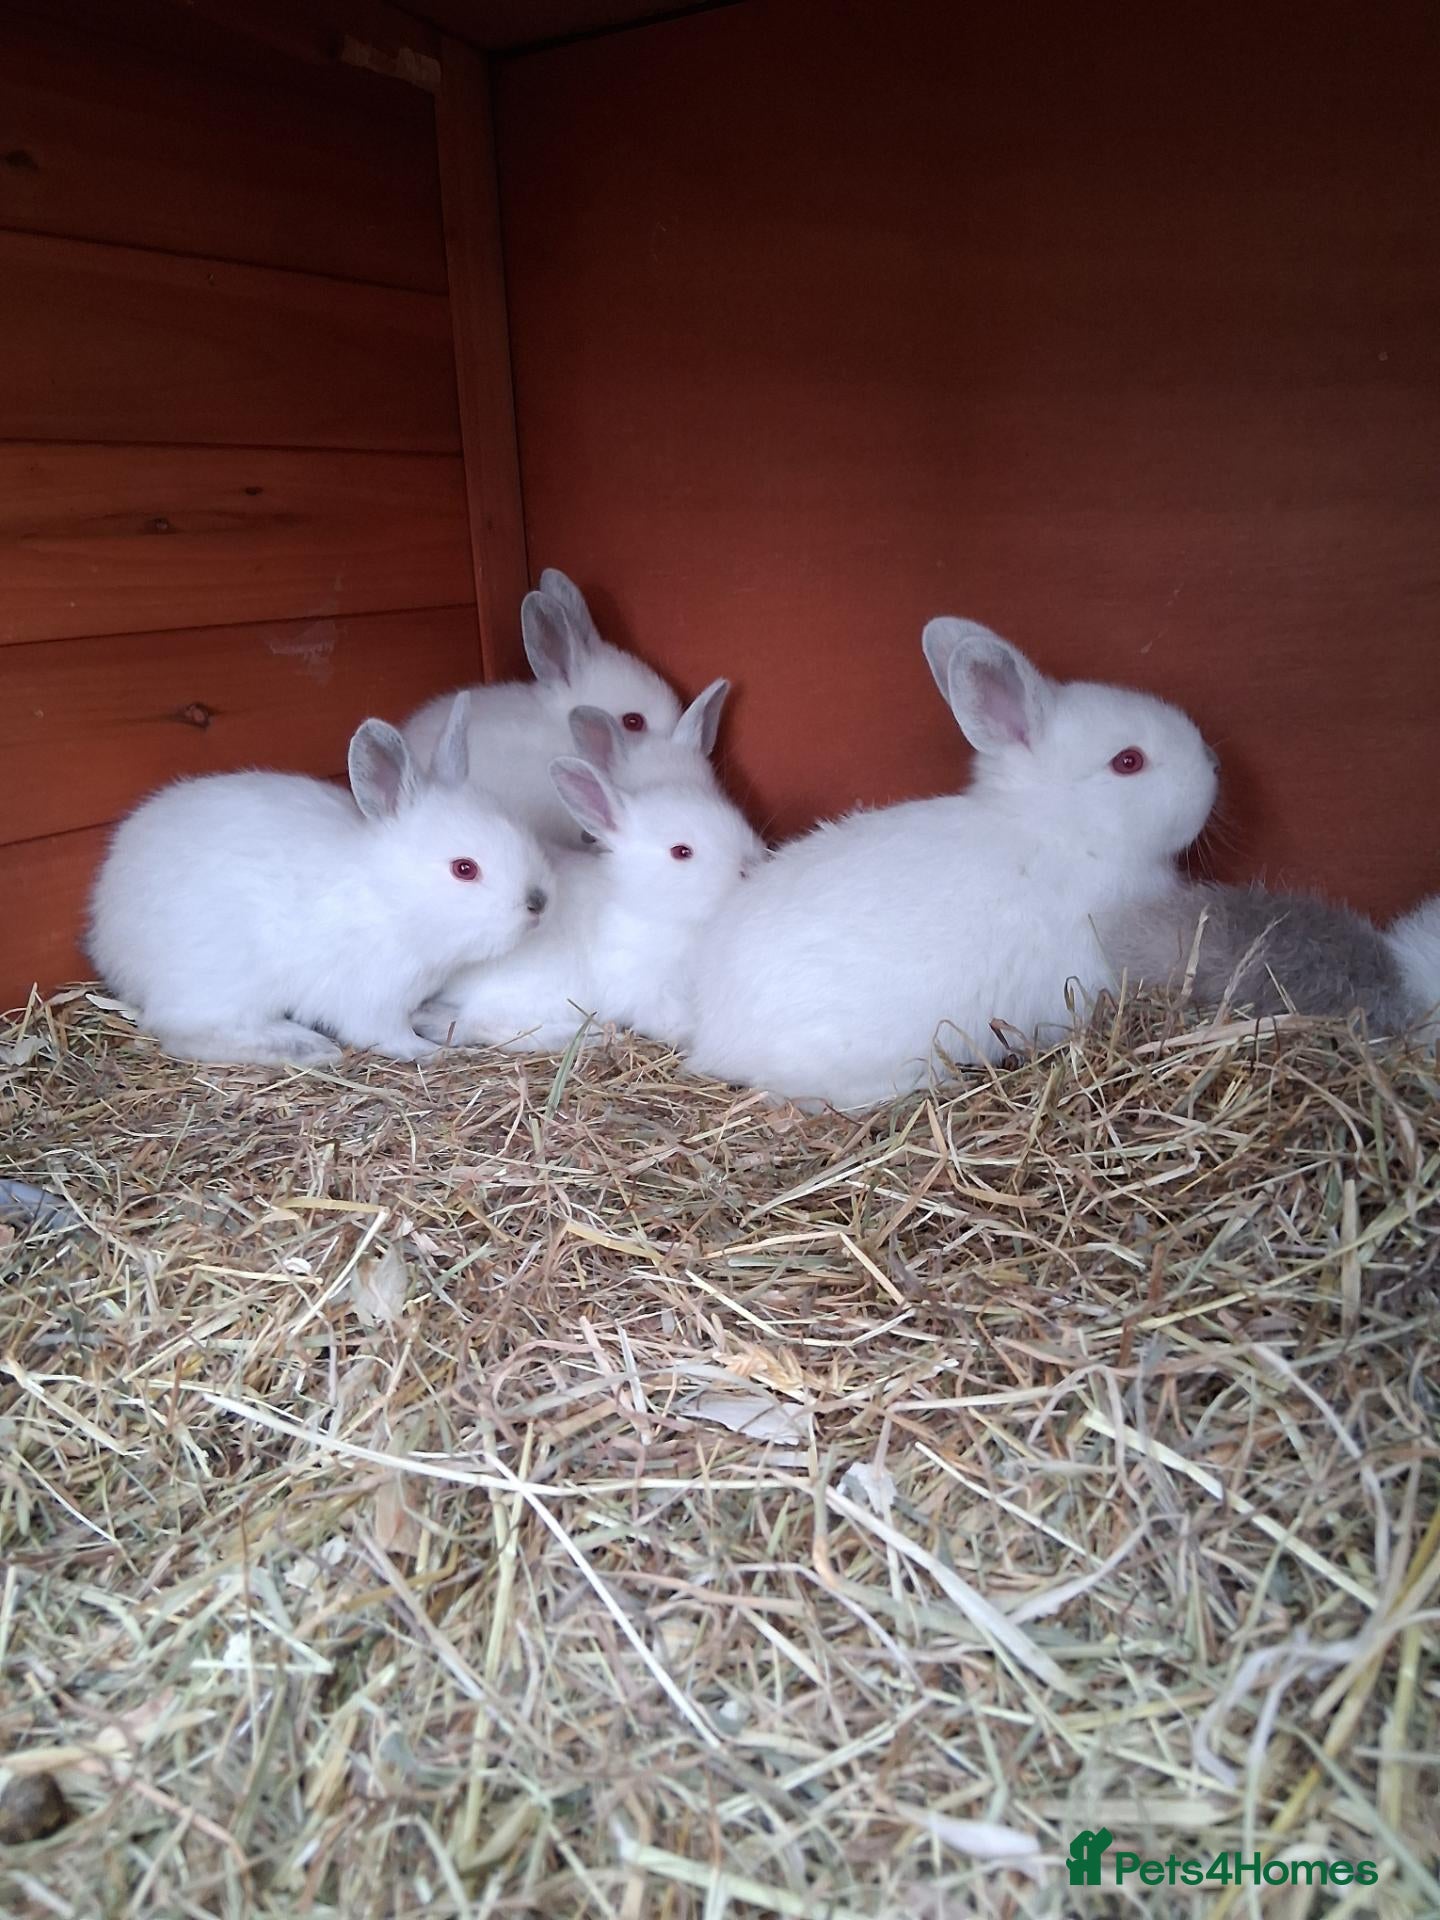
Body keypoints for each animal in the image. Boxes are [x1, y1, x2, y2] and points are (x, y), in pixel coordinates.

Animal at [88, 694, 554, 1067]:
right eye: (464, 869)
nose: (538, 903)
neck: (389, 898)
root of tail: (109, 933)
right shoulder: (371, 997)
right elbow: (386, 1034)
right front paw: (430, 1052)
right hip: (221, 981)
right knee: (187, 1033)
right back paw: (305, 1048)